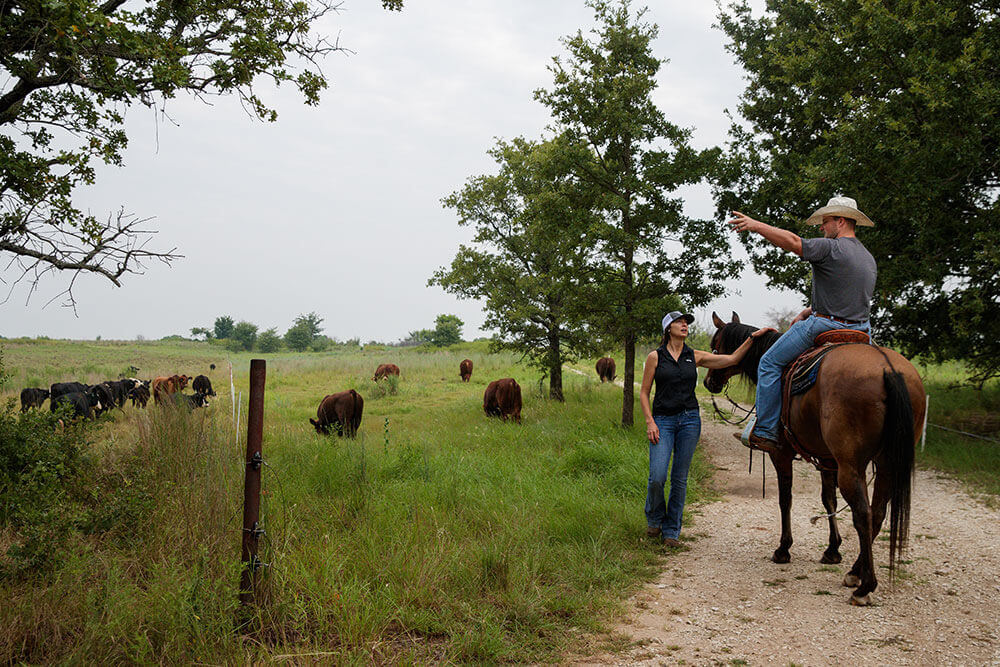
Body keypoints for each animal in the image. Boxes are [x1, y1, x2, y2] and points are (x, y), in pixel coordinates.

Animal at [704, 312, 920, 604]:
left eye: (715, 343)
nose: (709, 382)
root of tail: (889, 369)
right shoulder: (828, 459)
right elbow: (828, 500)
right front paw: (832, 550)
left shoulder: (781, 454)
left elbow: (785, 499)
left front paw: (783, 549)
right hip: (886, 464)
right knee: (877, 513)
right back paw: (855, 572)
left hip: (853, 467)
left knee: (863, 514)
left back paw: (865, 586)